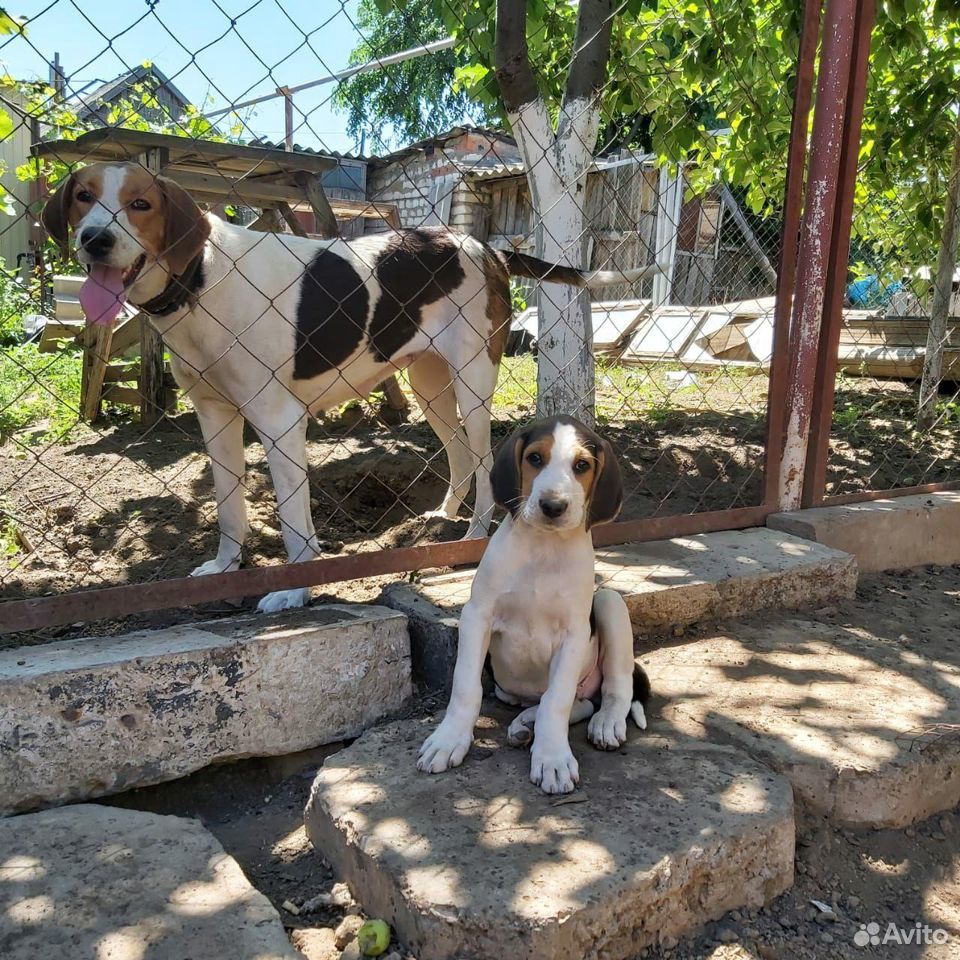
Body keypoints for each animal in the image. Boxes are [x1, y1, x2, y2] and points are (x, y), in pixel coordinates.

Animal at [41, 163, 656, 616]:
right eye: (82, 196)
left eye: (140, 205)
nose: (95, 239)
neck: (200, 277)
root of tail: (484, 247)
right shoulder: (215, 416)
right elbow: (229, 509)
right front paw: (224, 569)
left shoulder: (278, 421)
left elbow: (294, 524)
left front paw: (294, 590)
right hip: (429, 384)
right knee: (458, 452)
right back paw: (442, 517)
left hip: (473, 380)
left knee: (483, 460)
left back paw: (475, 533)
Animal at [416, 416, 648, 800]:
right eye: (535, 458)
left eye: (581, 466)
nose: (553, 506)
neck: (544, 548)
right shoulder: (477, 615)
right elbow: (465, 686)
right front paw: (448, 741)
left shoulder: (574, 635)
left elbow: (557, 700)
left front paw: (552, 758)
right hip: (509, 688)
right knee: (577, 703)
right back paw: (524, 724)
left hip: (610, 603)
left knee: (612, 687)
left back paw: (605, 723)